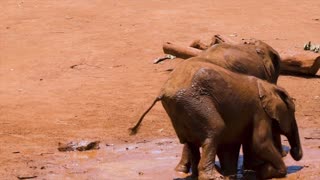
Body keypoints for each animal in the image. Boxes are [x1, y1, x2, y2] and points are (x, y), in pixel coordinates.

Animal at [129, 58, 302, 179]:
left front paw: (241, 173)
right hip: (195, 102)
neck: (269, 86)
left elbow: (231, 145)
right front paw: (269, 172)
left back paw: (201, 175)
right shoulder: (260, 111)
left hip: (180, 110)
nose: (295, 153)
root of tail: (163, 91)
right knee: (215, 130)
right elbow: (259, 142)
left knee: (191, 141)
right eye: (293, 111)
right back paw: (214, 177)